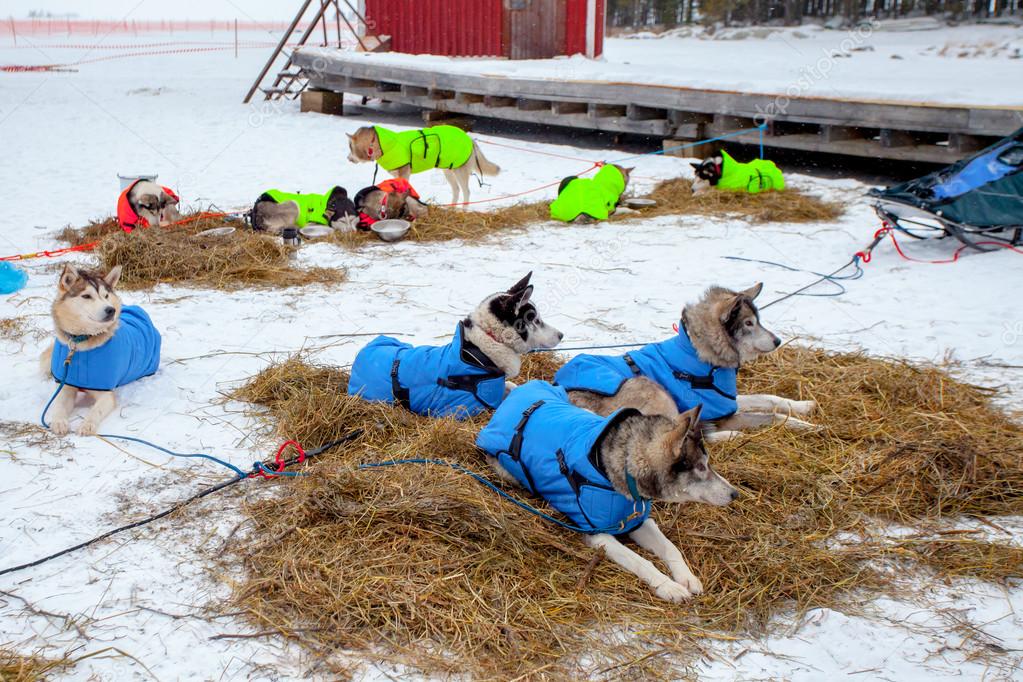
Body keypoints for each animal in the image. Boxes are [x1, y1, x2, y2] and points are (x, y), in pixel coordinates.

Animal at [41, 263, 161, 435]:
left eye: (105, 296)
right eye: (86, 296)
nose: (111, 310)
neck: (80, 342)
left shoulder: (105, 394)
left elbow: (95, 411)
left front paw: (87, 424)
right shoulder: (65, 386)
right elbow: (58, 405)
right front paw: (58, 421)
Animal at [345, 124, 501, 205]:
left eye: (350, 147)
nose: (347, 158)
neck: (380, 144)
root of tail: (470, 139)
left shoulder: (404, 172)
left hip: (459, 172)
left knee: (466, 192)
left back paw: (463, 210)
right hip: (448, 170)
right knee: (456, 190)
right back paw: (452, 208)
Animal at [478, 384, 736, 601]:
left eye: (708, 463)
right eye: (701, 467)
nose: (735, 494)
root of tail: (520, 391)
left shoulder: (639, 521)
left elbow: (670, 547)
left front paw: (687, 577)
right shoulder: (599, 535)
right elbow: (641, 562)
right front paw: (668, 586)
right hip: (507, 470)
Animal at [556, 284, 818, 439]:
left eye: (758, 320)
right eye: (748, 323)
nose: (778, 340)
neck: (702, 357)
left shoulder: (727, 400)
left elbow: (769, 398)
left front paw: (804, 406)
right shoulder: (720, 415)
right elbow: (771, 416)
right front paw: (808, 426)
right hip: (654, 390)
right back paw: (730, 436)